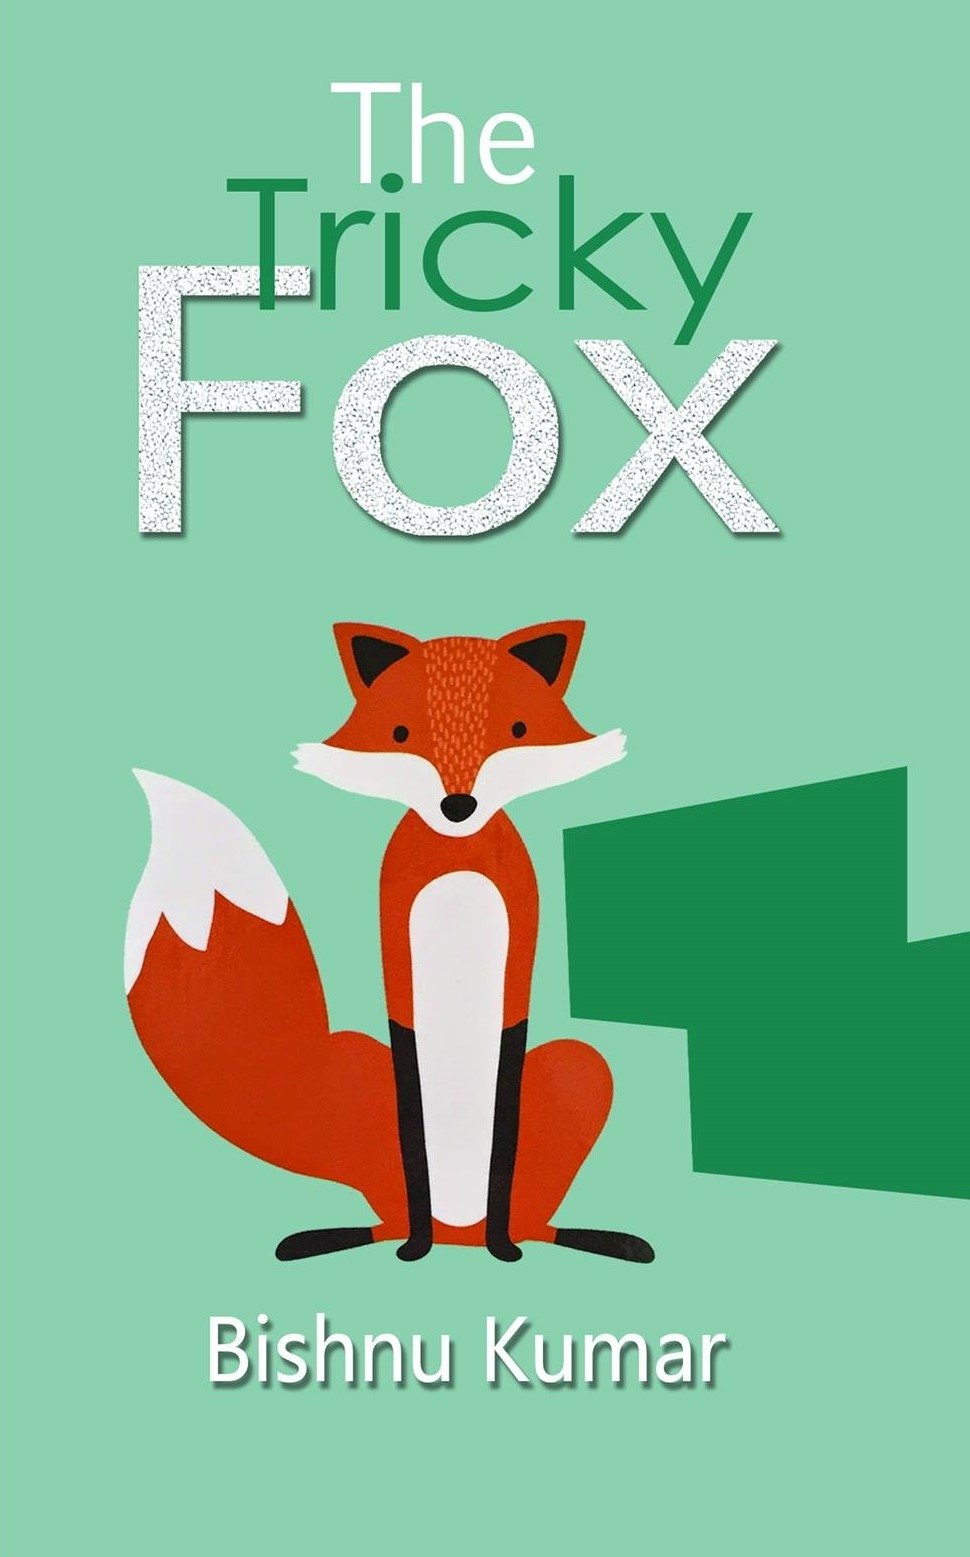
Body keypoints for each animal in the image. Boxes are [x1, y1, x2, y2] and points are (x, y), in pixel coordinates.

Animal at [125, 620, 654, 1265]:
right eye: (400, 734)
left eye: (517, 730)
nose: (458, 806)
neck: (457, 858)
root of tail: (460, 1234)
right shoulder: (397, 964)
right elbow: (414, 1124)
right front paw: (414, 1251)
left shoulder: (516, 973)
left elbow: (503, 1131)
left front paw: (505, 1250)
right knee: (395, 1213)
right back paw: (373, 1238)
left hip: (581, 1066)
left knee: (531, 1215)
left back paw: (555, 1239)